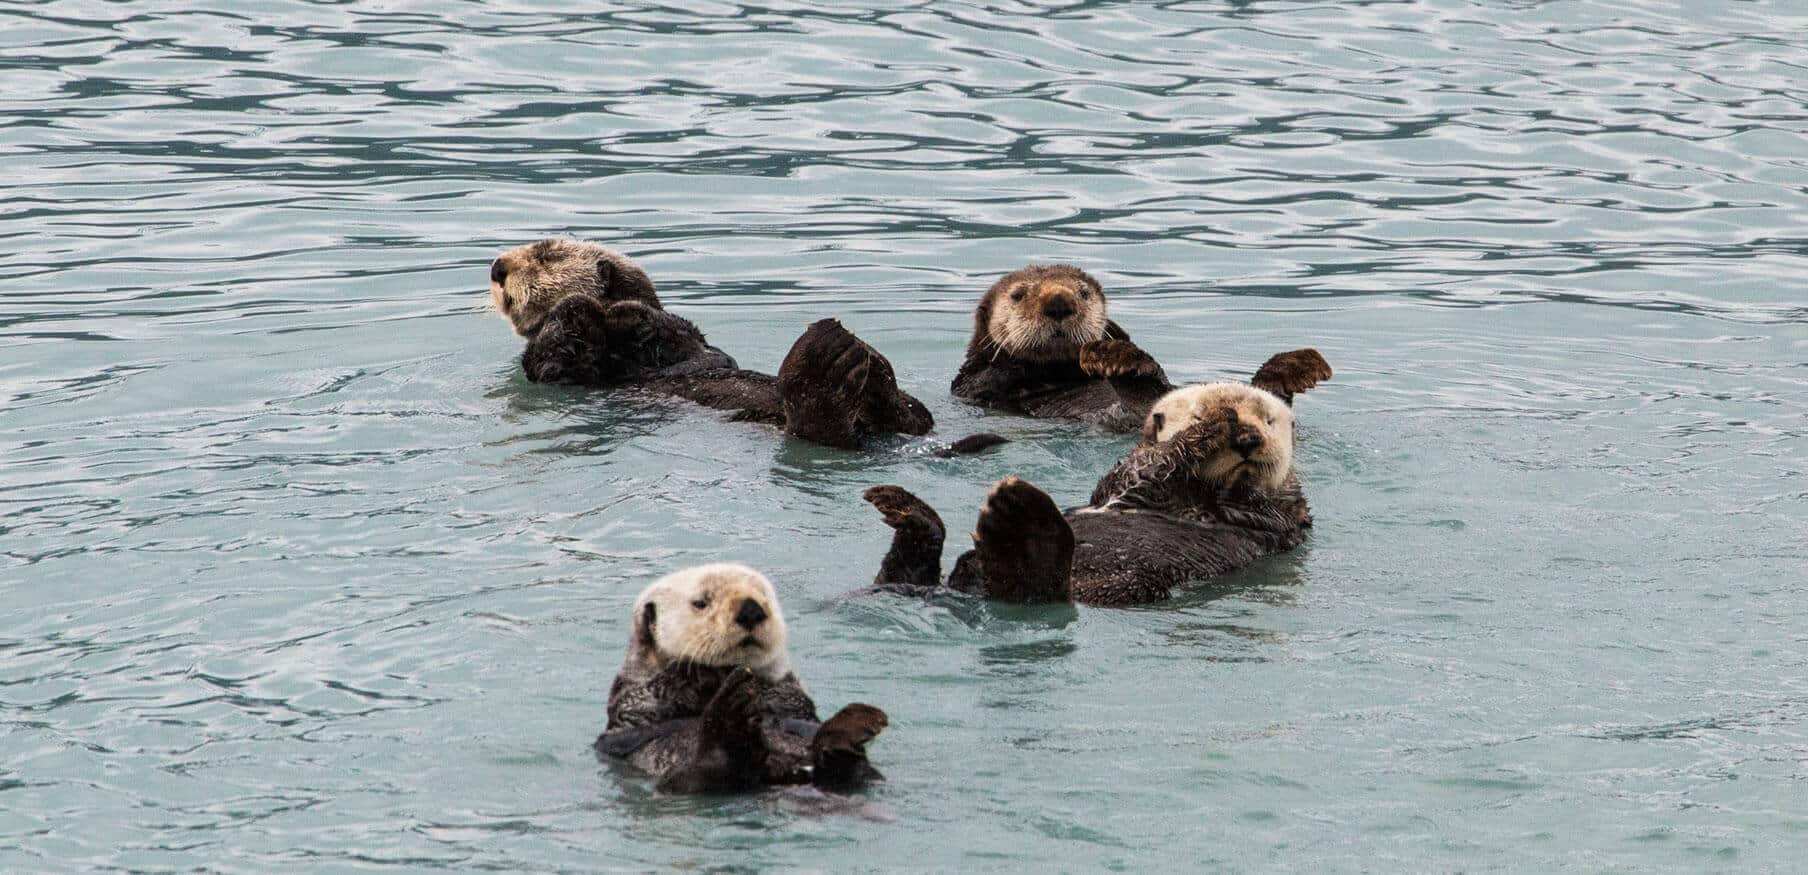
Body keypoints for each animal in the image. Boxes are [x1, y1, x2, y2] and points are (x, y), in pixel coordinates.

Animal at [596, 564, 885, 795]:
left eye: (764, 597)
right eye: (701, 602)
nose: (751, 608)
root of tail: (790, 773)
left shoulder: (787, 691)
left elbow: (791, 703)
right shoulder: (636, 700)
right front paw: (698, 676)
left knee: (850, 768)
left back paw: (849, 729)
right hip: (687, 779)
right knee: (708, 771)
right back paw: (730, 713)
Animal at [867, 348, 1337, 600]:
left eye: (1268, 421)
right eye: (1199, 411)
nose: (1247, 437)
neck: (1194, 495)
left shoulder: (1275, 515)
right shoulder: (1124, 481)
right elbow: (1144, 465)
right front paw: (1210, 430)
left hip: (1128, 584)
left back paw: (1020, 523)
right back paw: (912, 513)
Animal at [954, 265, 1178, 432]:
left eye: (1084, 293)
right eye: (1017, 295)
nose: (1059, 302)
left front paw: (1114, 344)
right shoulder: (971, 385)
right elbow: (987, 377)